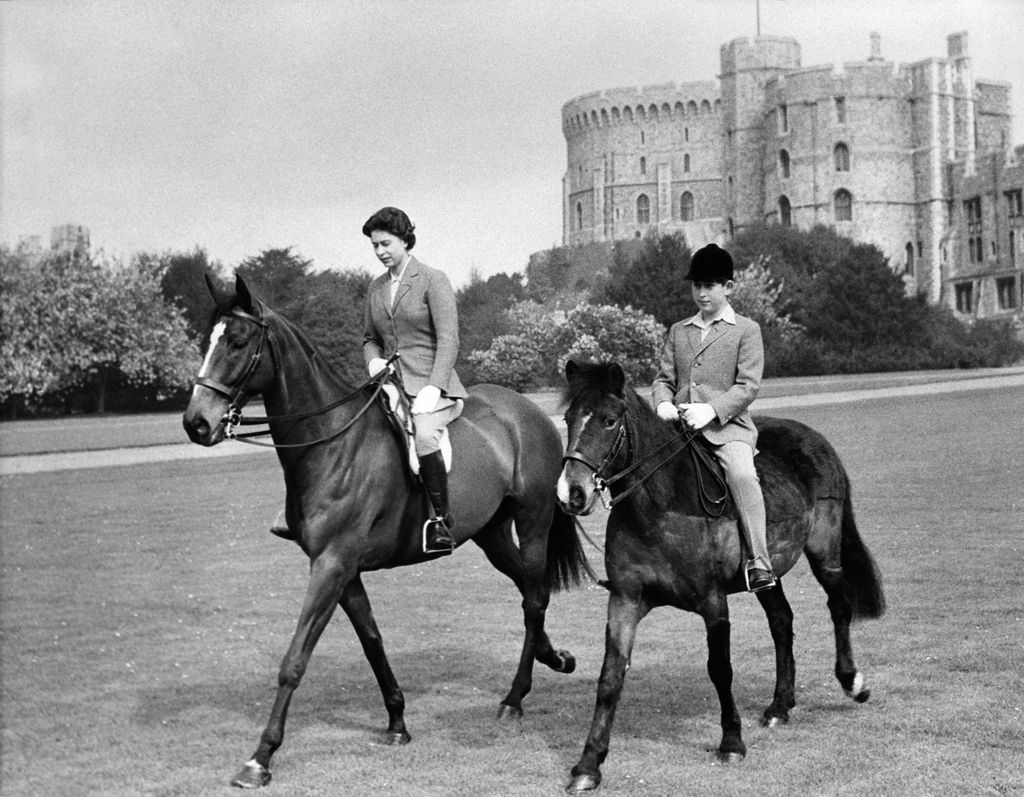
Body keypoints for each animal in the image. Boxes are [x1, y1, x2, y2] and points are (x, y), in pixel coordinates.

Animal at [180, 276, 589, 786]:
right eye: (207, 340)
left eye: (236, 342)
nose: (196, 423)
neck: (333, 441)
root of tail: (529, 412)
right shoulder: (344, 569)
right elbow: (372, 641)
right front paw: (397, 721)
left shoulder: (331, 566)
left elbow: (295, 660)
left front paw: (260, 757)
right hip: (490, 534)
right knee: (528, 589)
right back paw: (556, 659)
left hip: (532, 523)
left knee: (534, 598)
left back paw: (515, 698)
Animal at [557, 362, 884, 790]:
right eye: (568, 419)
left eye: (609, 420)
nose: (572, 493)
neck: (660, 508)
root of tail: (816, 441)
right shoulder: (625, 600)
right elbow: (610, 677)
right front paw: (588, 764)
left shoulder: (713, 603)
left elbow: (720, 670)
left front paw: (731, 741)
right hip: (766, 573)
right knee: (782, 621)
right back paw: (780, 706)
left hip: (824, 552)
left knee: (838, 605)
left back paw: (852, 682)